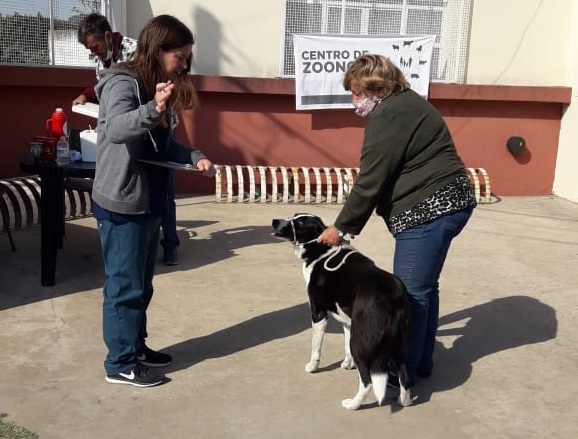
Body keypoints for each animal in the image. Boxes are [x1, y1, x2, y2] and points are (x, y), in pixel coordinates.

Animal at [272, 215, 412, 410]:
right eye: (293, 216)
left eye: (300, 223)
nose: (274, 221)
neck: (321, 250)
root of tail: (392, 294)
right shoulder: (348, 321)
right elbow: (345, 345)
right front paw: (347, 364)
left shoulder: (318, 313)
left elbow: (315, 347)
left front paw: (312, 367)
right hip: (398, 343)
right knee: (404, 375)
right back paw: (404, 400)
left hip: (361, 340)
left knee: (367, 381)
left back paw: (353, 404)